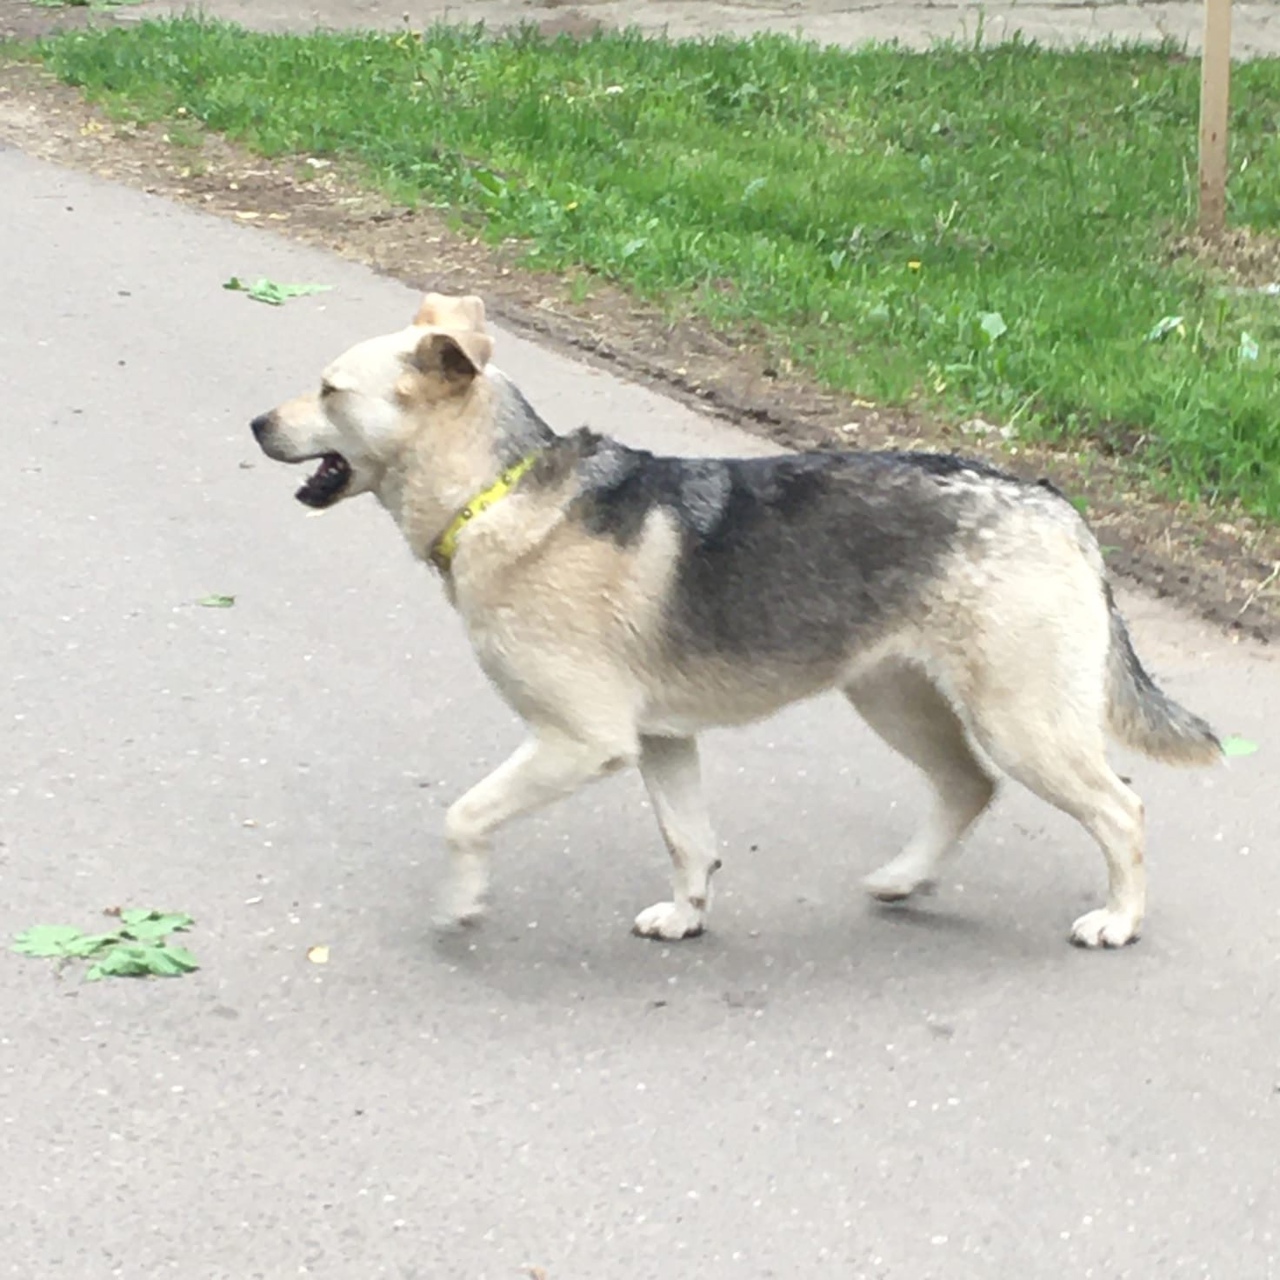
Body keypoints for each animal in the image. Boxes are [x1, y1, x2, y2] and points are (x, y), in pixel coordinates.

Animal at [249, 293, 1218, 952]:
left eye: (330, 390)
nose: (256, 422)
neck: (501, 490)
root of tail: (1060, 509)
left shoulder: (581, 742)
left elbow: (464, 817)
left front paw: (461, 905)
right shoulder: (662, 742)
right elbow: (690, 840)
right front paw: (688, 915)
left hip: (1021, 721)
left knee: (1120, 809)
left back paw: (1119, 919)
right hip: (895, 698)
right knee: (968, 788)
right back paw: (904, 878)